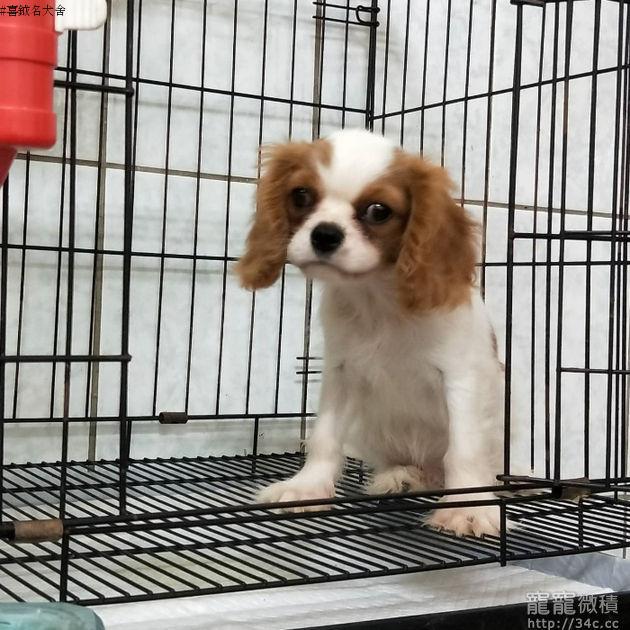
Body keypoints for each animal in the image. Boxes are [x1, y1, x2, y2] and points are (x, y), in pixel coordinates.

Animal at [236, 129, 503, 537]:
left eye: (379, 211)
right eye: (301, 195)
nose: (325, 234)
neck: (378, 298)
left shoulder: (462, 378)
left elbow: (464, 448)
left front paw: (468, 510)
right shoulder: (342, 372)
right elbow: (325, 437)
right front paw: (306, 487)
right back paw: (402, 477)